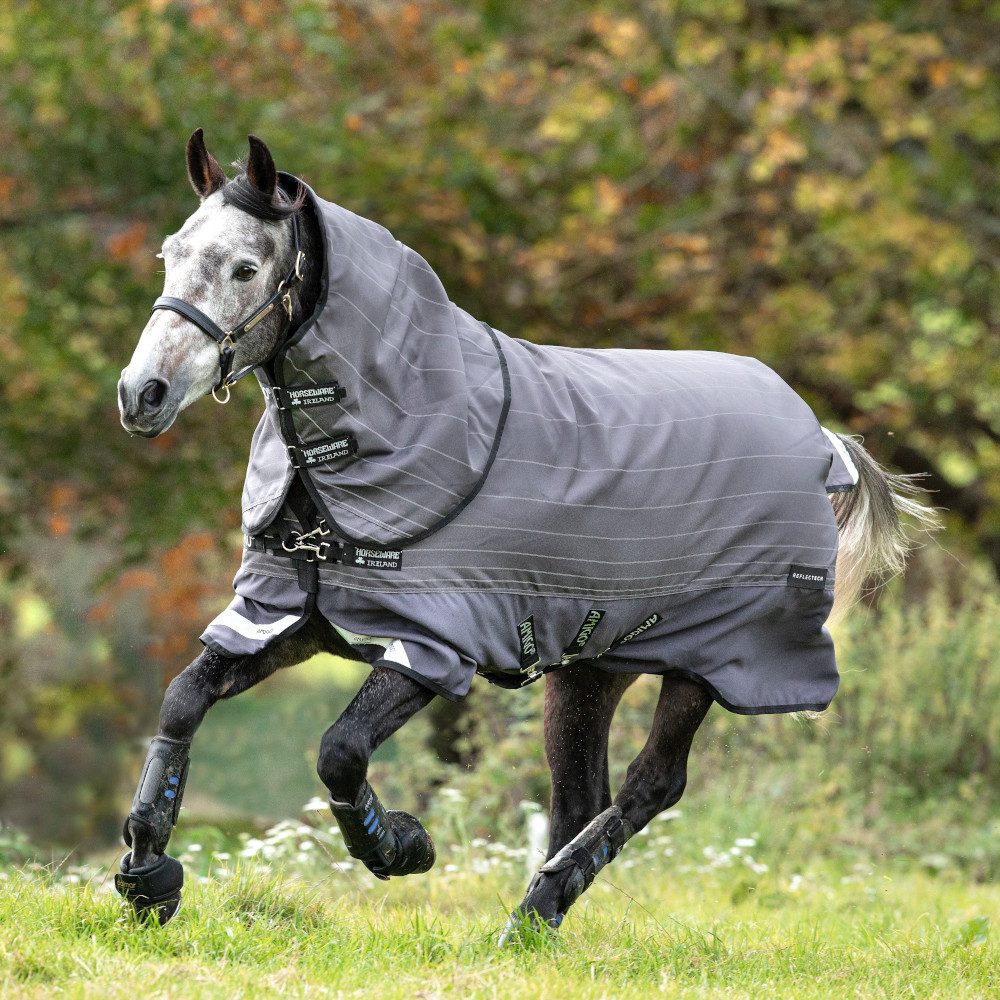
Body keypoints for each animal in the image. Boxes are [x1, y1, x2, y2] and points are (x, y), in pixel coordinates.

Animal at [115, 130, 935, 936]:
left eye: (245, 267)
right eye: (171, 254)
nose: (141, 393)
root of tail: (821, 440)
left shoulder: (433, 644)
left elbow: (340, 752)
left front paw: (402, 846)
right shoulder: (286, 617)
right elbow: (182, 702)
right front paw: (148, 875)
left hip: (710, 661)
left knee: (650, 784)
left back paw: (536, 907)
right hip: (592, 668)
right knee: (580, 796)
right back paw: (534, 923)